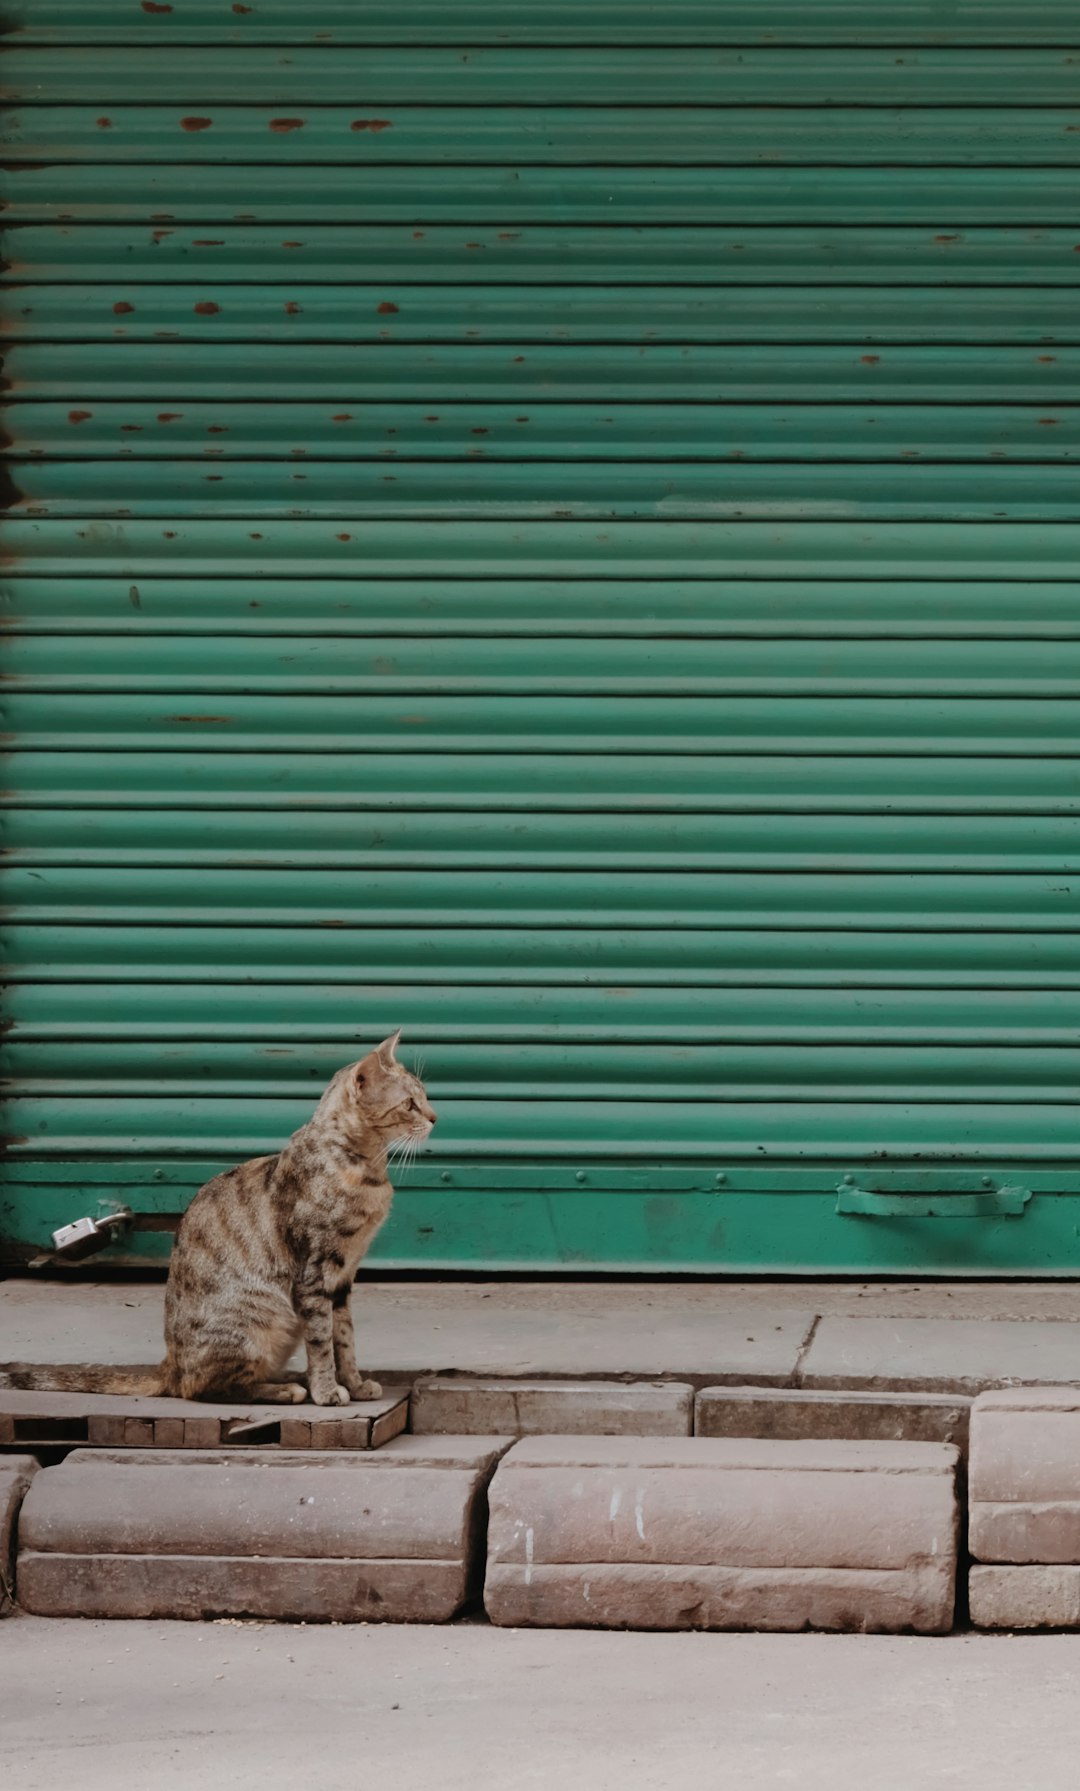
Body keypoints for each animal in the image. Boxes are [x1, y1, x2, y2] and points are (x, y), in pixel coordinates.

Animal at [5, 1045, 435, 1404]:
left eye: (425, 1097)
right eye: (410, 1104)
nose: (435, 1117)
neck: (365, 1167)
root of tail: (169, 1366)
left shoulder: (342, 1278)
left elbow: (344, 1339)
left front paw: (355, 1384)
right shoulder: (315, 1274)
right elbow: (322, 1341)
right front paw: (327, 1390)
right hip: (260, 1319)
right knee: (204, 1389)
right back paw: (285, 1390)